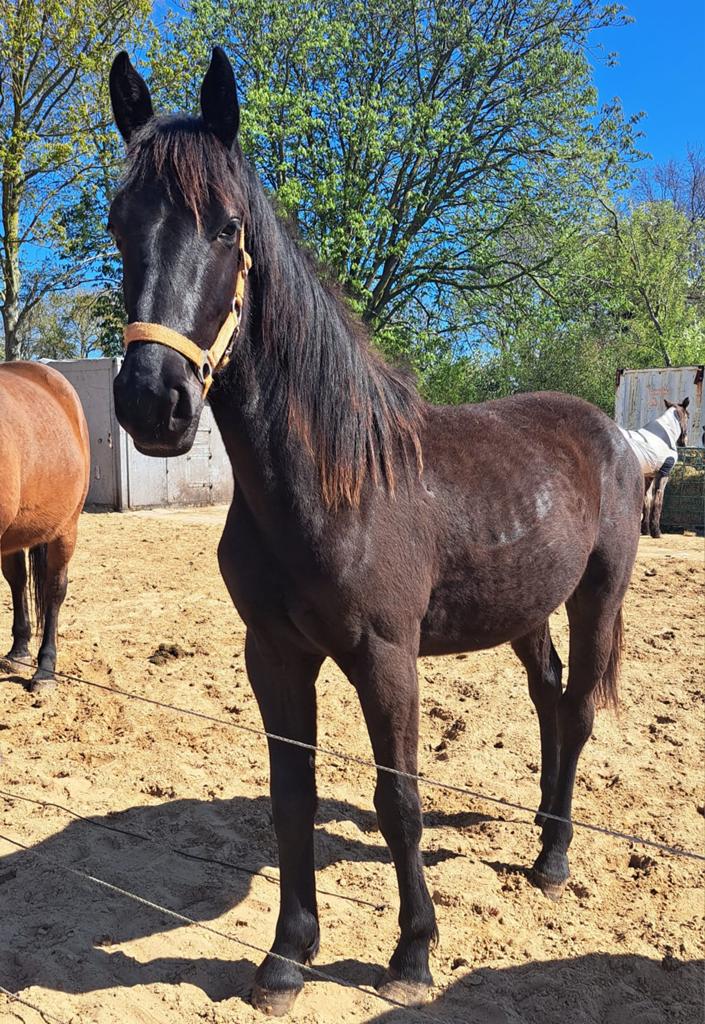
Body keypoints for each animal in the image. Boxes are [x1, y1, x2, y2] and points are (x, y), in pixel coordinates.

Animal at [108, 48, 644, 1015]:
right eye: (118, 222)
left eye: (227, 228)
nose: (153, 402)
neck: (329, 483)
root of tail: (606, 434)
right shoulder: (274, 654)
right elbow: (292, 796)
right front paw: (286, 957)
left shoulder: (386, 657)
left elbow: (399, 800)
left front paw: (412, 955)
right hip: (524, 610)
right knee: (548, 699)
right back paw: (539, 827)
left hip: (597, 597)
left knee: (580, 708)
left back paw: (553, 856)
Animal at [619, 398, 689, 539]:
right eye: (687, 416)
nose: (684, 441)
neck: (665, 437)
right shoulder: (664, 473)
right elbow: (658, 500)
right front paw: (656, 531)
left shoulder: (649, 475)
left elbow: (647, 499)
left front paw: (645, 530)